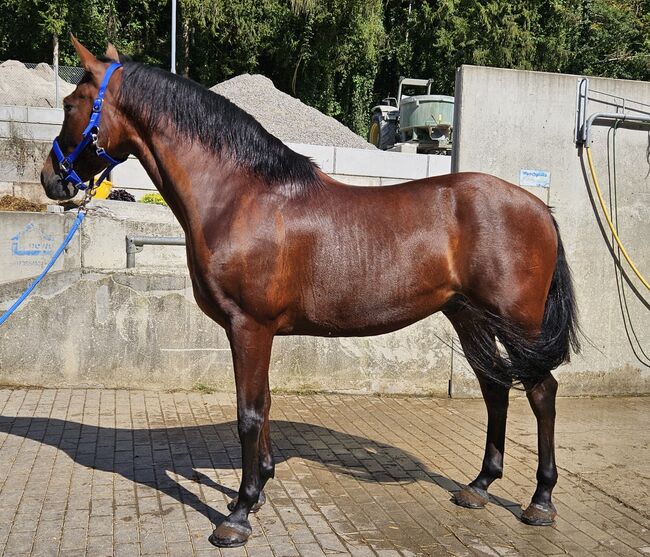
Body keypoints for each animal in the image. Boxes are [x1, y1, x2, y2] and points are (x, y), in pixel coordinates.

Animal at [39, 39, 576, 548]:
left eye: (70, 104)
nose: (50, 178)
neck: (239, 196)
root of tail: (540, 209)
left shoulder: (249, 326)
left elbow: (249, 414)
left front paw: (237, 515)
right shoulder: (254, 332)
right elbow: (264, 404)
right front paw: (257, 490)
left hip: (518, 323)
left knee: (541, 392)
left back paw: (541, 501)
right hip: (470, 318)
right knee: (495, 388)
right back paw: (479, 486)